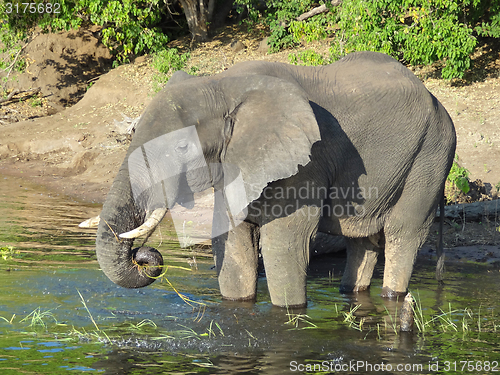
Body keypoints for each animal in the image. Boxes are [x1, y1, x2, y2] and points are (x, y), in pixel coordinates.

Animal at [88, 52, 456, 308]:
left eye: (182, 147)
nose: (144, 255)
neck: (222, 86)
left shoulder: (305, 164)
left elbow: (284, 244)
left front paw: (289, 312)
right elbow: (233, 244)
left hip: (431, 156)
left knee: (403, 233)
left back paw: (393, 295)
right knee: (362, 240)